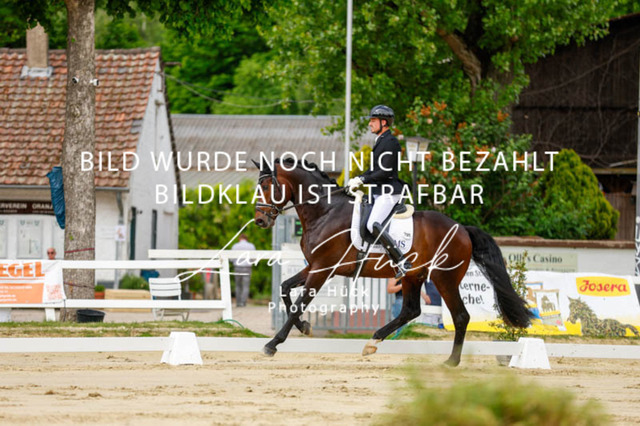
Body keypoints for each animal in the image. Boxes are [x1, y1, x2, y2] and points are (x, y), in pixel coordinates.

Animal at [253, 157, 532, 366]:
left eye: (266, 187)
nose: (260, 221)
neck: (325, 211)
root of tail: (461, 229)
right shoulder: (314, 267)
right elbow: (286, 290)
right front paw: (305, 327)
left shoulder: (322, 269)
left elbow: (299, 304)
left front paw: (272, 344)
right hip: (413, 276)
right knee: (411, 310)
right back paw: (372, 342)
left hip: (444, 278)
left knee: (460, 316)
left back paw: (451, 362)